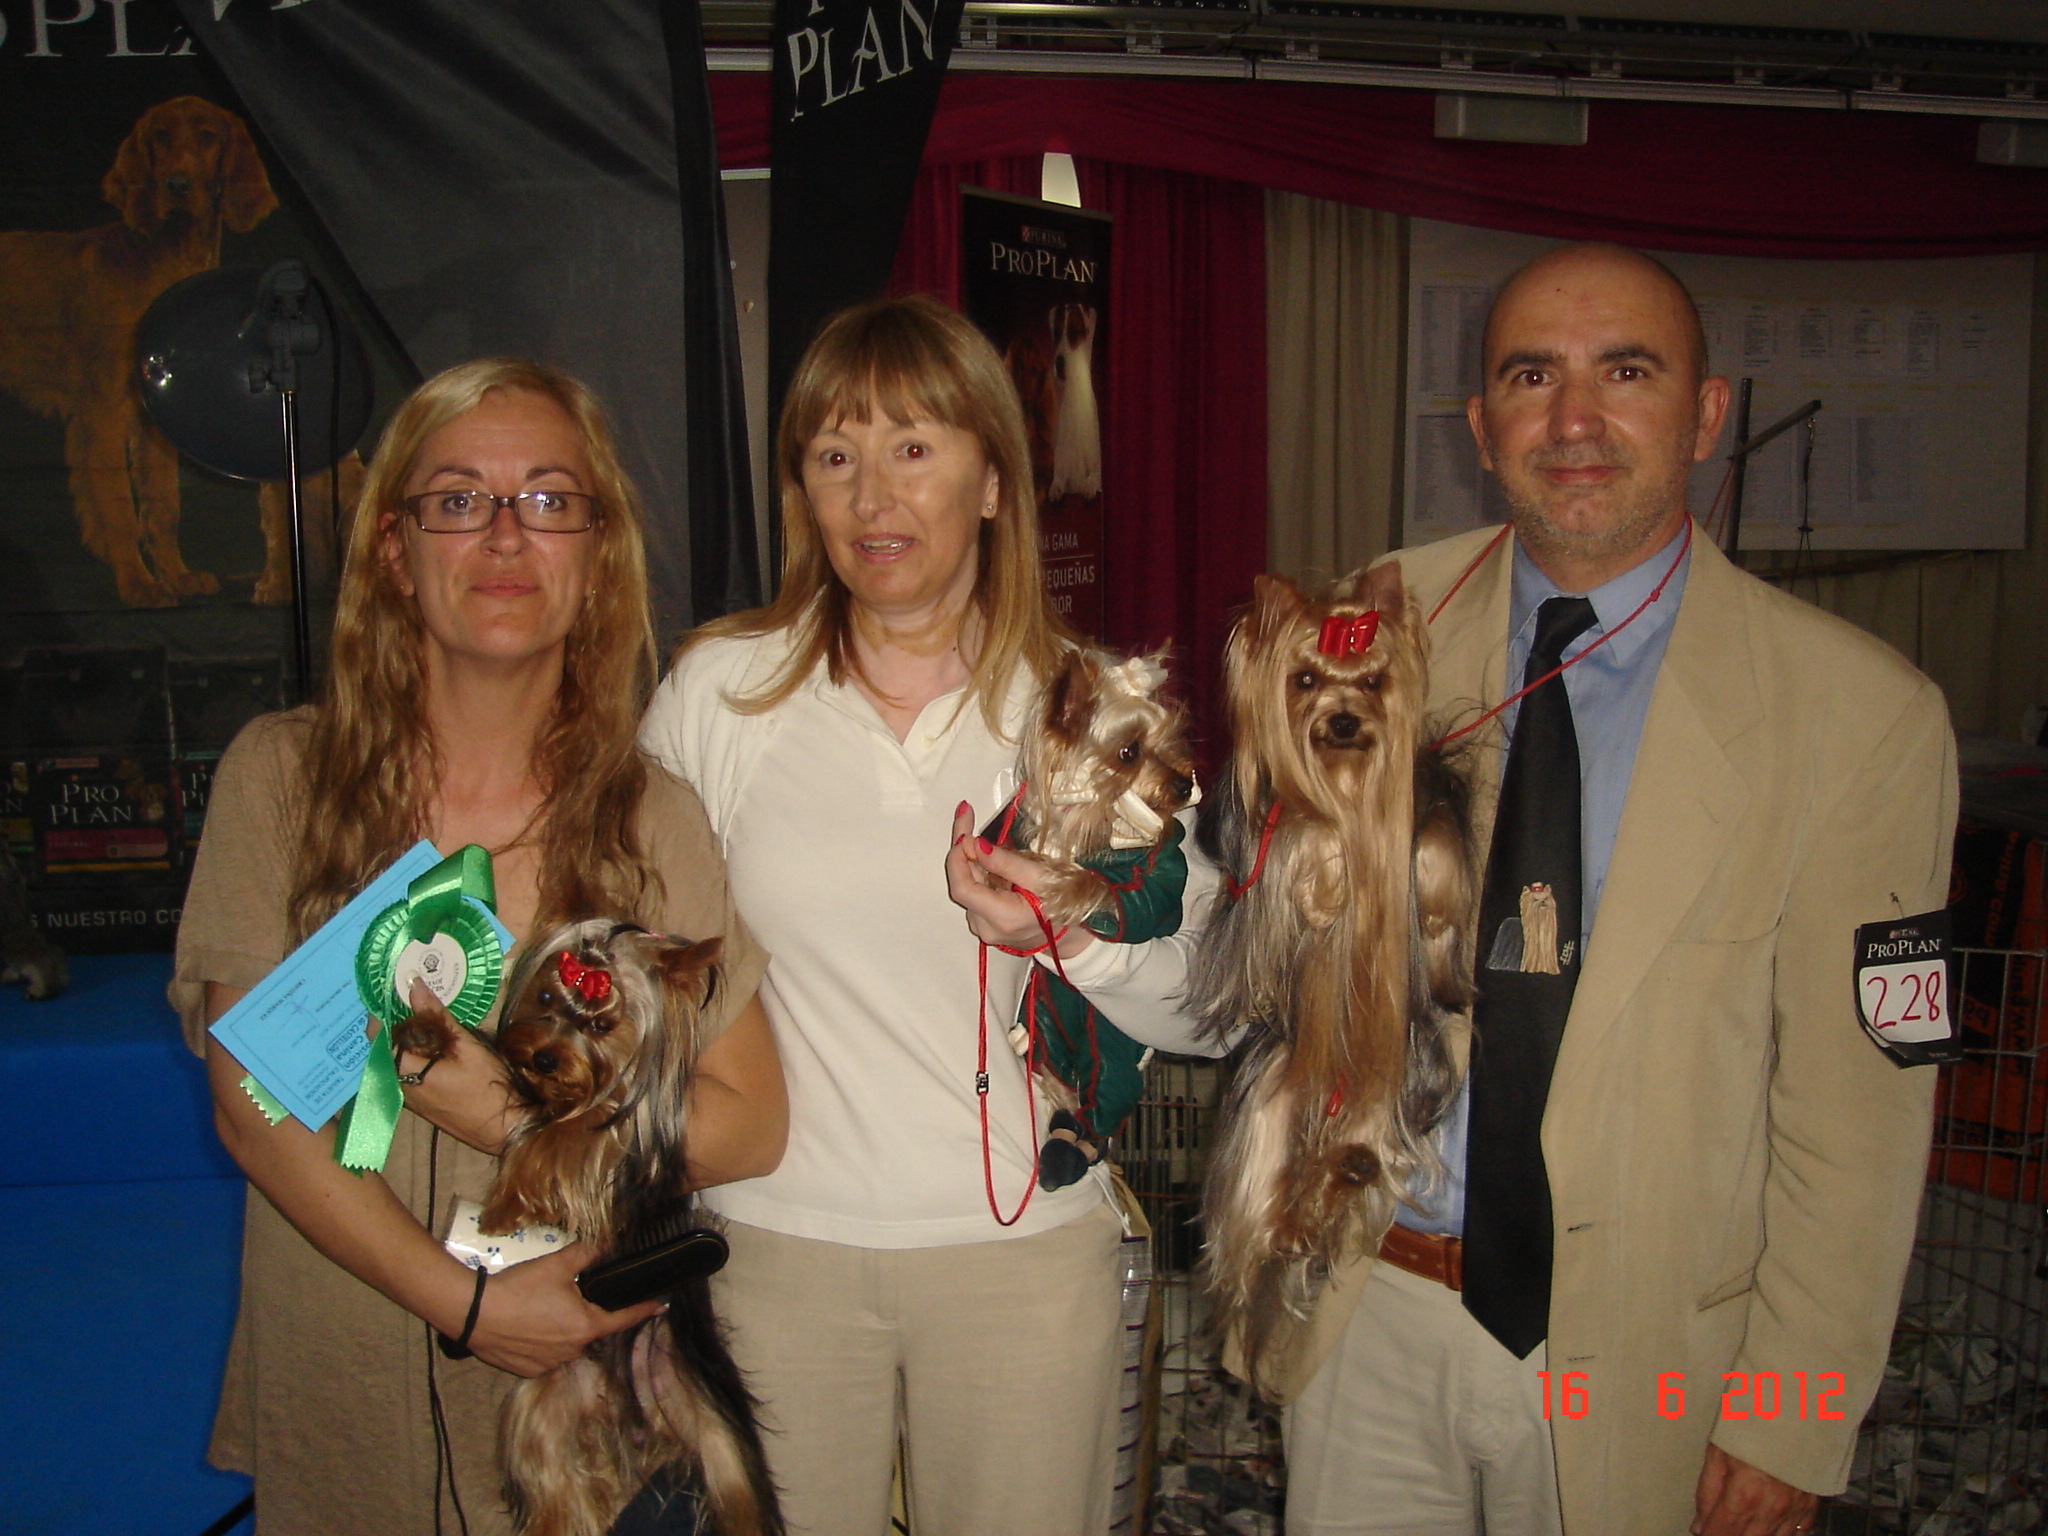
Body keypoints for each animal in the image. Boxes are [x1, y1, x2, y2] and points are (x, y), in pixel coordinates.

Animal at [0, 95, 277, 607]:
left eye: (208, 136)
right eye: (160, 136)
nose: (177, 185)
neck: (164, 261)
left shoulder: (154, 417)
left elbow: (163, 506)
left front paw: (177, 576)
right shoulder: (101, 412)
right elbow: (118, 511)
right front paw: (138, 584)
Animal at [395, 919, 783, 1536]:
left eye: (603, 1025)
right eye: (545, 999)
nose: (546, 1059)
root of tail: (631, 1416)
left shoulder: (627, 1133)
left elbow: (576, 1132)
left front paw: (505, 1205)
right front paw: (426, 1032)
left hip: (717, 1433)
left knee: (738, 1494)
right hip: (542, 1410)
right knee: (557, 1489)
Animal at [996, 645, 1197, 1189]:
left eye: (1172, 740)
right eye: (1128, 752)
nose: (1184, 783)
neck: (1097, 817)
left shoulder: (1161, 869)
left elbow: (1124, 897)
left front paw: (1062, 884)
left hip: (1111, 1050)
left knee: (1105, 1098)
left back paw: (1073, 1148)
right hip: (1042, 1023)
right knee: (1050, 1071)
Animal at [1189, 564, 1476, 1385]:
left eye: (1374, 681)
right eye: (1306, 679)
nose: (1344, 723)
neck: (1348, 786)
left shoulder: (1427, 804)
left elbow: (1434, 844)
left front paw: (1429, 913)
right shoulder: (1265, 842)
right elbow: (1298, 846)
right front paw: (1326, 881)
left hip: (1394, 1078)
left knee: (1367, 1147)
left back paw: (1345, 1171)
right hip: (1271, 1089)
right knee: (1257, 1182)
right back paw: (1280, 1229)